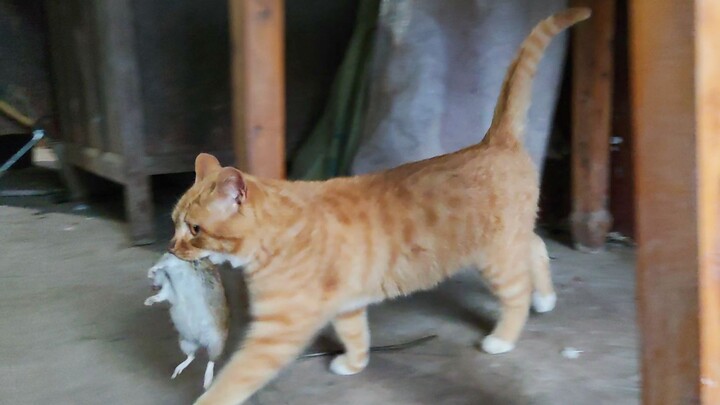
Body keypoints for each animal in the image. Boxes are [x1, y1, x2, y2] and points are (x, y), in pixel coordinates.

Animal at [169, 7, 592, 402]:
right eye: (174, 222)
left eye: (195, 229)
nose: (171, 249)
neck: (278, 235)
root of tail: (494, 140)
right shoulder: (347, 305)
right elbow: (356, 333)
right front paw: (355, 363)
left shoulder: (277, 333)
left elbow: (234, 378)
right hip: (510, 240)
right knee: (535, 245)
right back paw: (546, 298)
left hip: (496, 256)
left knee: (517, 291)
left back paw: (504, 336)